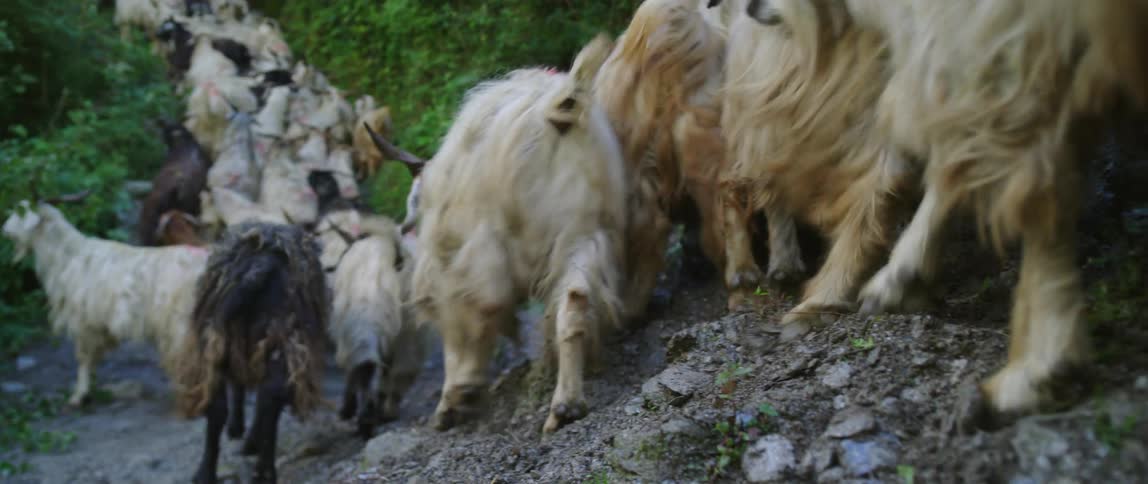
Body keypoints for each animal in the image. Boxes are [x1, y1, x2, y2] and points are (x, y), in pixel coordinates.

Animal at [2, 199, 208, 407]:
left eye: (20, 214)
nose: (4, 230)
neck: (67, 256)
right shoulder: (97, 324)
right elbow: (93, 356)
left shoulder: (82, 321)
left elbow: (83, 358)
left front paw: (79, 395)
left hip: (180, 325)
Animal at [174, 222, 327, 484]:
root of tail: (261, 266)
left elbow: (237, 388)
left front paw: (236, 428)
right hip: (281, 336)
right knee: (269, 398)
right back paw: (263, 469)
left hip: (218, 341)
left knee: (221, 406)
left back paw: (207, 472)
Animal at [408, 37, 630, 433]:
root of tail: (560, 107)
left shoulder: (456, 267)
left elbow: (464, 325)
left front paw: (455, 398)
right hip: (583, 232)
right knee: (575, 299)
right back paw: (565, 406)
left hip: (494, 241)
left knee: (489, 302)